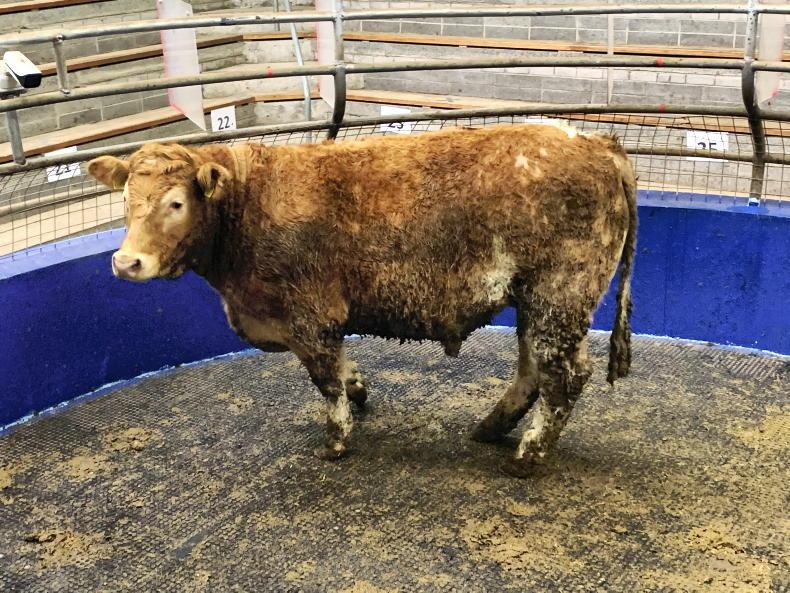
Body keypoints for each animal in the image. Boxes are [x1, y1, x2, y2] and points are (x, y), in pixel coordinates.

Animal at [87, 122, 636, 478]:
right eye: (125, 201)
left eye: (176, 203)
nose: (126, 262)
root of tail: (596, 142)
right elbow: (343, 371)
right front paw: (359, 391)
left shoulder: (309, 315)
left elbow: (326, 382)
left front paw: (335, 441)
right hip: (536, 301)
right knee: (532, 370)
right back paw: (491, 428)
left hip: (559, 296)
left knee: (564, 377)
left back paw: (527, 456)